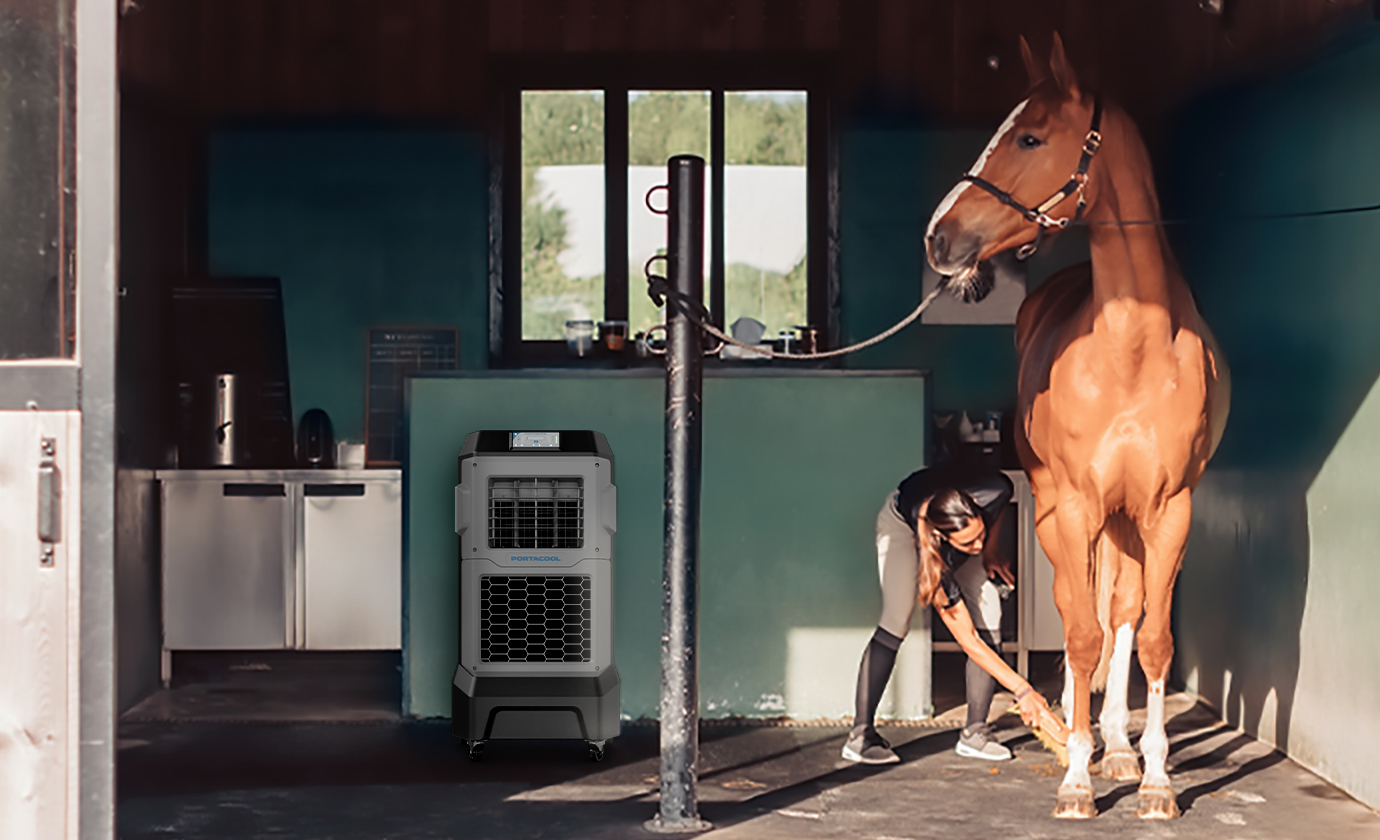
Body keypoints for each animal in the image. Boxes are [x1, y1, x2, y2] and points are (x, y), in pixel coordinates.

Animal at [927, 36, 1230, 816]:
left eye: (1030, 137)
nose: (939, 238)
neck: (1133, 349)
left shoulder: (1168, 511)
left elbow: (1148, 637)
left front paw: (1153, 781)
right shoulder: (1075, 507)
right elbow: (1080, 632)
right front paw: (1075, 777)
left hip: (1125, 522)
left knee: (1119, 608)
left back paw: (1118, 745)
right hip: (1059, 512)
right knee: (1075, 613)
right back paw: (1081, 735)